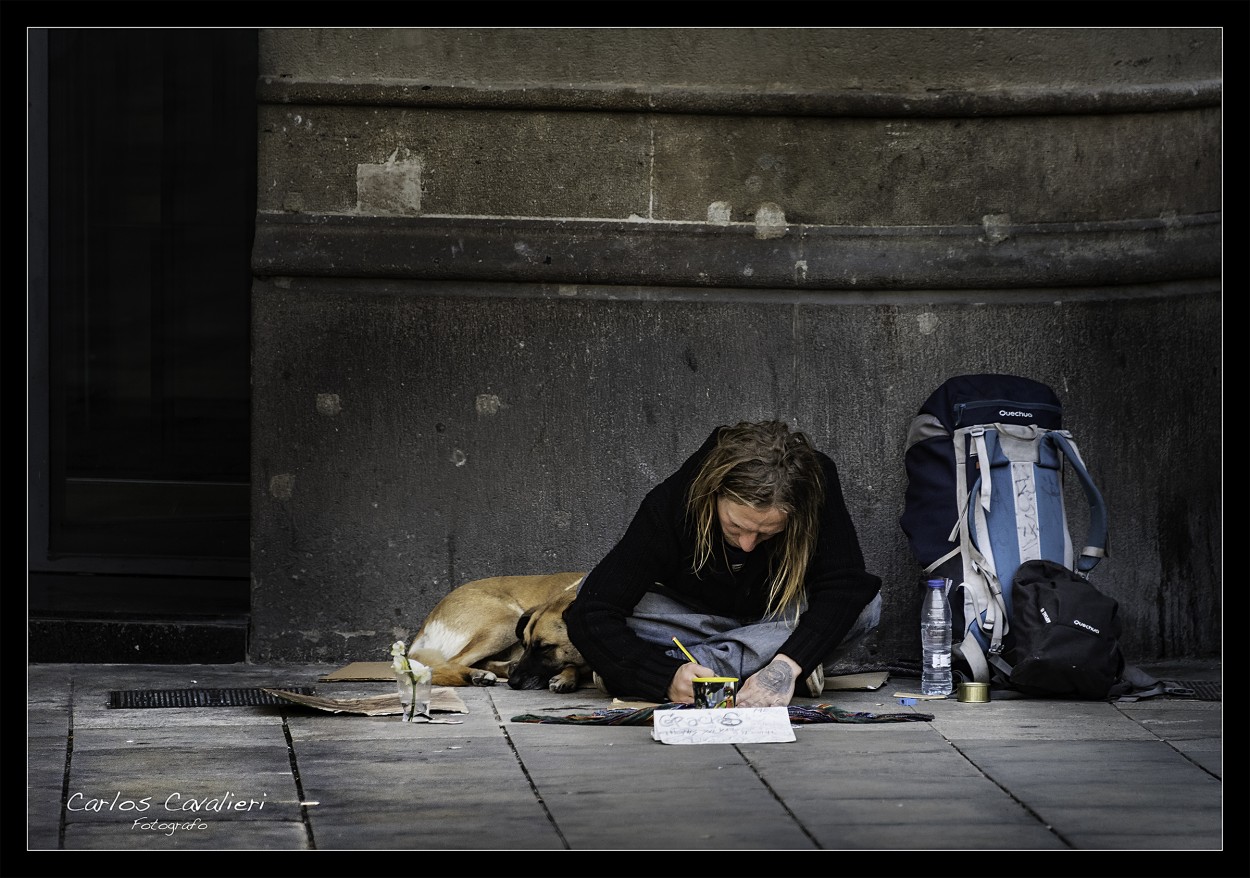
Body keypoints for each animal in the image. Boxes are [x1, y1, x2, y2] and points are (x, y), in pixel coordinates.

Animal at [405, 577, 590, 695]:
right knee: (447, 663)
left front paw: (567, 677)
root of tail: (429, 618)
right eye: (525, 645)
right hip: (507, 622)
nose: (513, 683)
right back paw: (476, 674)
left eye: (545, 648)